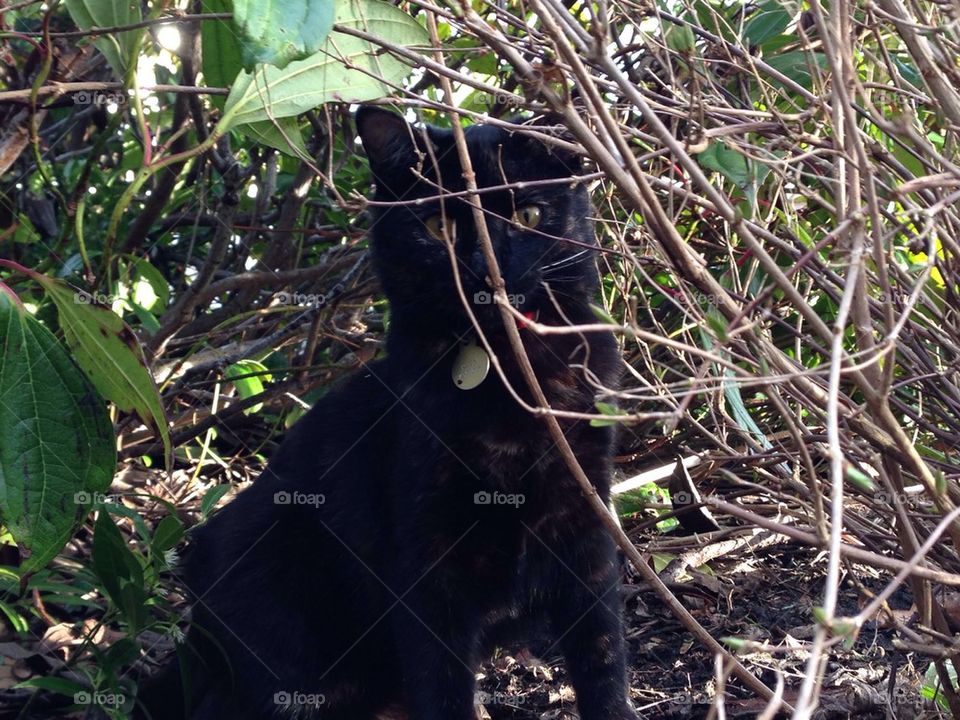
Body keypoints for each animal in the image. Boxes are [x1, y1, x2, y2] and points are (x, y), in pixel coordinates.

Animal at [133, 107, 632, 720]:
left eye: (528, 214)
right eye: (438, 227)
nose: (482, 270)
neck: (506, 376)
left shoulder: (583, 516)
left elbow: (602, 655)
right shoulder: (425, 551)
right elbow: (442, 684)